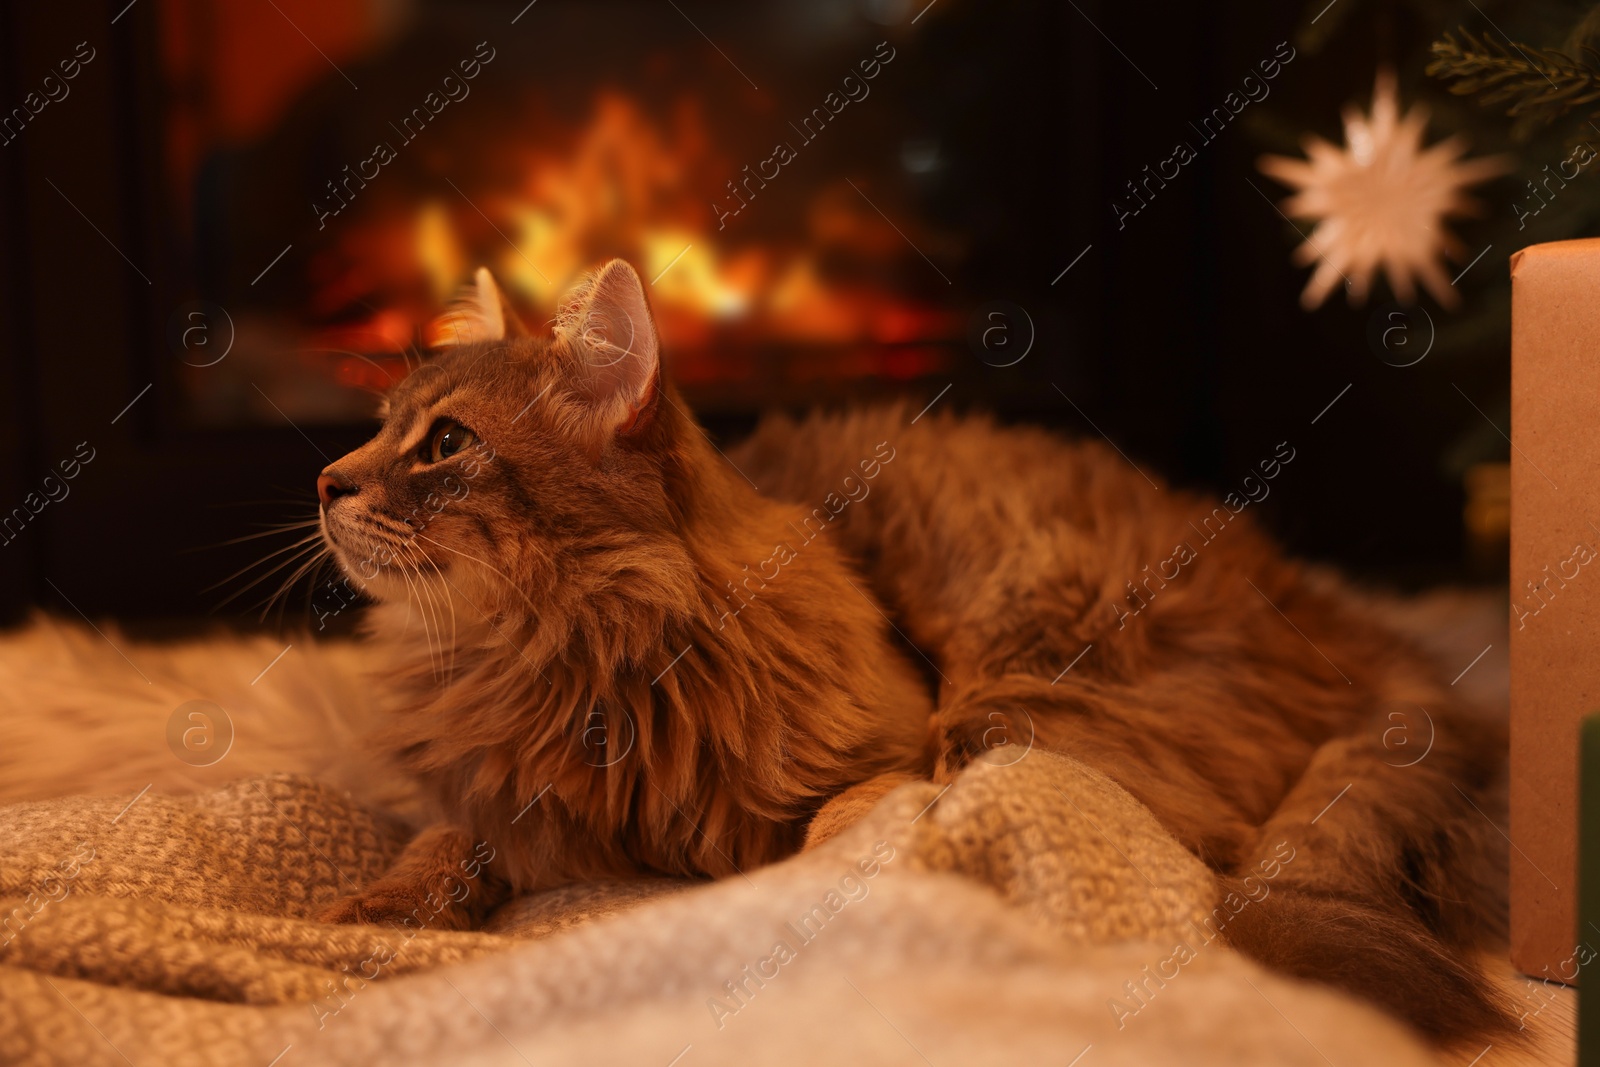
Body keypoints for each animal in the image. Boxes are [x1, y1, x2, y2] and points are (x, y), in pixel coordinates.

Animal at [321, 259, 1510, 1043]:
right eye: (378, 429)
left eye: (444, 446)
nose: (328, 480)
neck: (558, 657)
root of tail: (1334, 612)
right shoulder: (492, 790)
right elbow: (443, 842)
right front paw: (373, 913)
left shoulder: (885, 751)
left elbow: (835, 829)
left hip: (1015, 668)